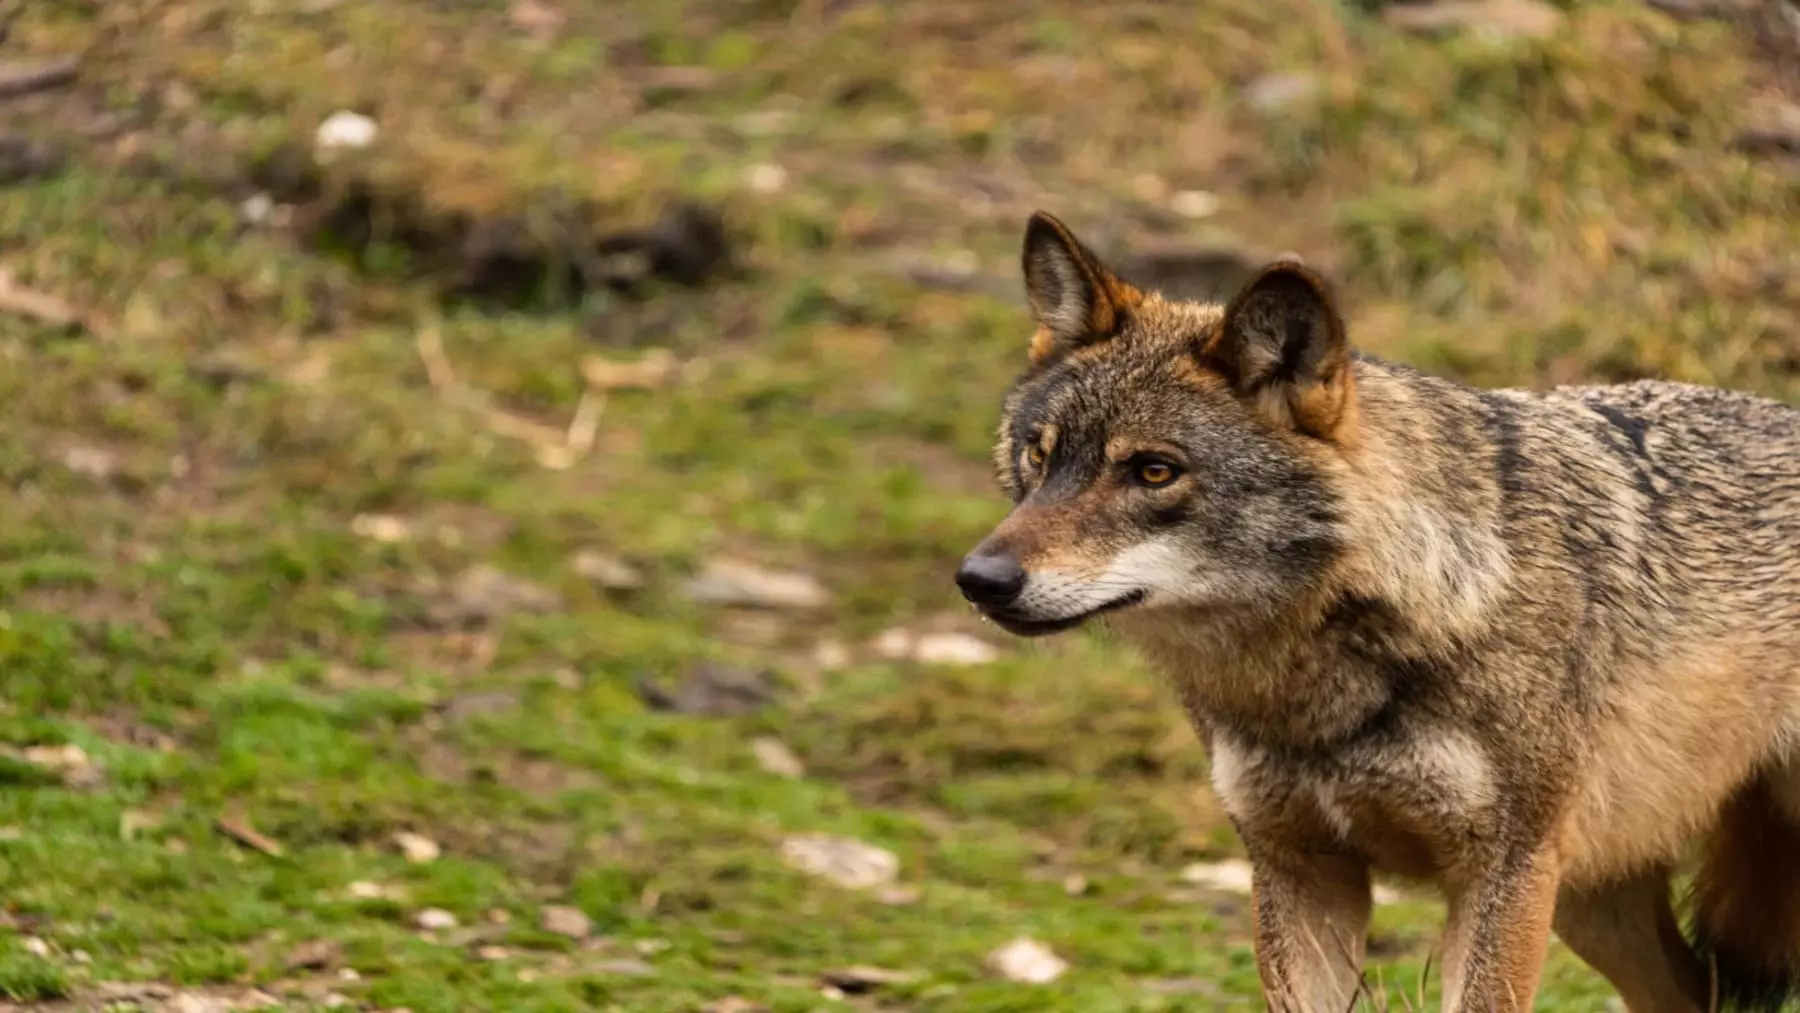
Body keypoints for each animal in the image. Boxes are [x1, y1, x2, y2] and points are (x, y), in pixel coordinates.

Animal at [955, 211, 1800, 1012]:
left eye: (1154, 470)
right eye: (1039, 455)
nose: (979, 579)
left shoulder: (1502, 873)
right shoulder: (1299, 868)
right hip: (1593, 902)